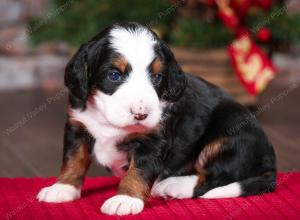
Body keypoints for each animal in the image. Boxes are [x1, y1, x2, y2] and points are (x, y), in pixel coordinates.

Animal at [37, 21, 276, 215]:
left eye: (158, 77)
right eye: (114, 75)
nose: (141, 114)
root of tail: (269, 160)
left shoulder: (151, 141)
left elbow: (139, 171)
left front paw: (125, 199)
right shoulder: (77, 125)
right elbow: (73, 159)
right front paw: (63, 187)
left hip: (232, 130)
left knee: (214, 178)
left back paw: (173, 186)